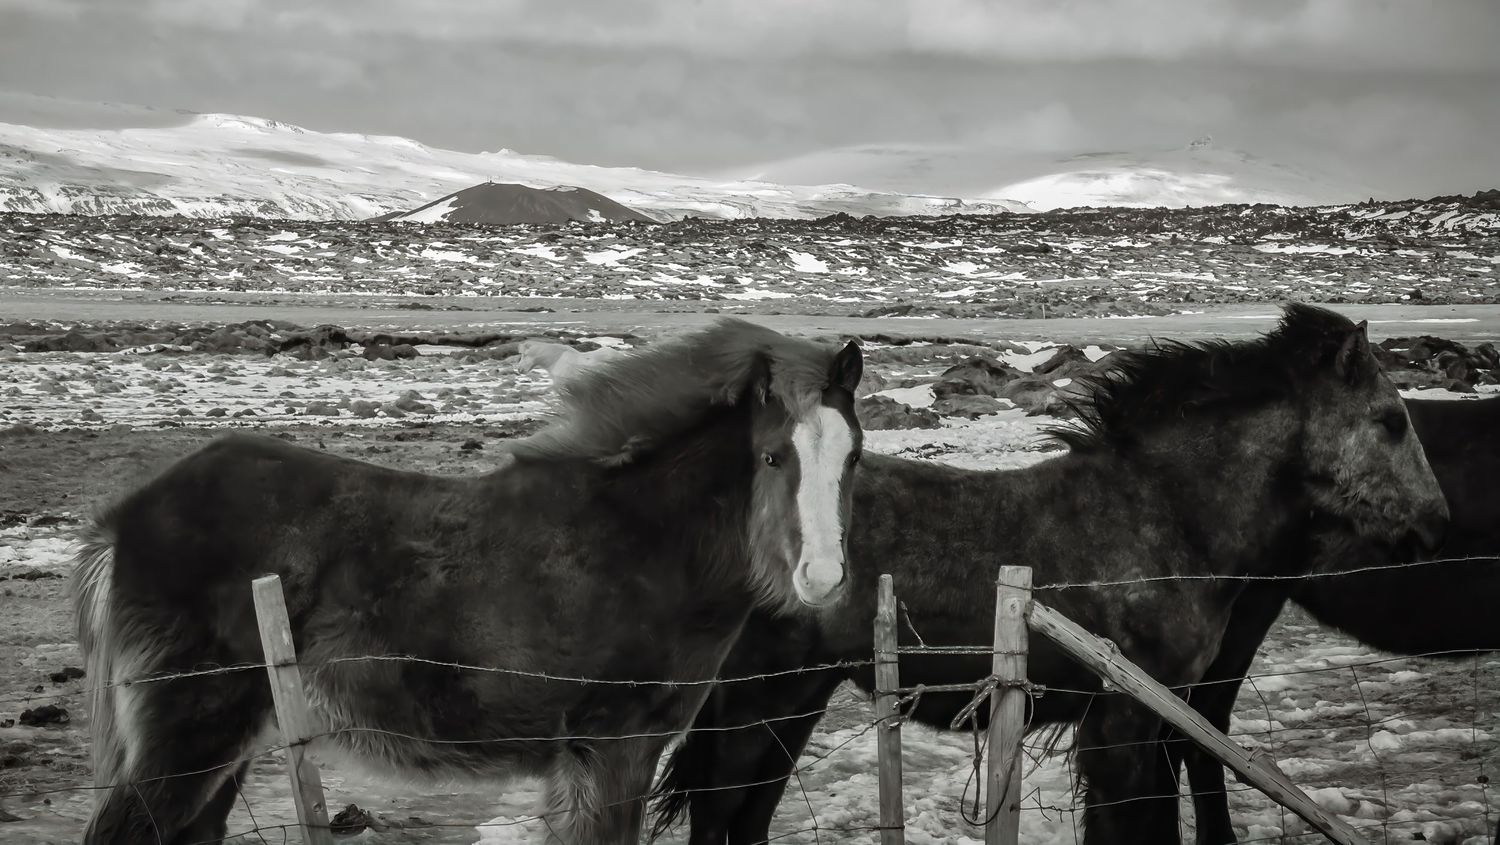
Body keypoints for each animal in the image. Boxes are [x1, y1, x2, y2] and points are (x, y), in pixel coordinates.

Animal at [69, 317, 866, 845]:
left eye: (853, 455)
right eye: (771, 457)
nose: (824, 579)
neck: (641, 542)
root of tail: (125, 519)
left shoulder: (583, 763)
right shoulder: (617, 747)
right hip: (189, 741)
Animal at [647, 303, 1450, 845]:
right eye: (1390, 420)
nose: (1435, 524)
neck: (1163, 512)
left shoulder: (1155, 719)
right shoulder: (1124, 722)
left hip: (799, 698)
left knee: (747, 816)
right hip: (760, 700)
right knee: (719, 813)